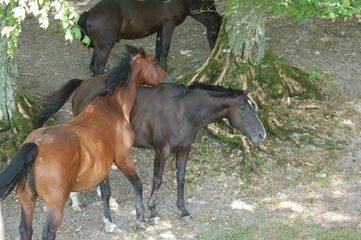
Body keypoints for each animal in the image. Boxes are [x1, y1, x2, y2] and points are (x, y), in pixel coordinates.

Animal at [0, 45, 166, 240]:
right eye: (155, 63)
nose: (165, 76)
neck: (113, 106)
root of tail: (35, 146)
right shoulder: (123, 157)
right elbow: (138, 184)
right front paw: (140, 217)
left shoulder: (103, 164)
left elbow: (106, 192)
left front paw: (109, 222)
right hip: (55, 206)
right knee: (48, 232)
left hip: (27, 200)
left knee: (25, 230)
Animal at [36, 79, 266, 227]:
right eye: (243, 108)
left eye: (252, 106)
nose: (261, 134)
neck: (183, 111)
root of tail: (84, 84)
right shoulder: (161, 150)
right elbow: (158, 179)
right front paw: (153, 211)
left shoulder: (184, 150)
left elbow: (180, 179)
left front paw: (183, 210)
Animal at [77, 0, 221, 75]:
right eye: (217, 31)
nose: (214, 51)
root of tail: (89, 13)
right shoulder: (169, 25)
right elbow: (165, 48)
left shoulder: (160, 28)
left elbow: (159, 47)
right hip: (104, 48)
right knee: (98, 69)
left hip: (99, 47)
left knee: (92, 67)